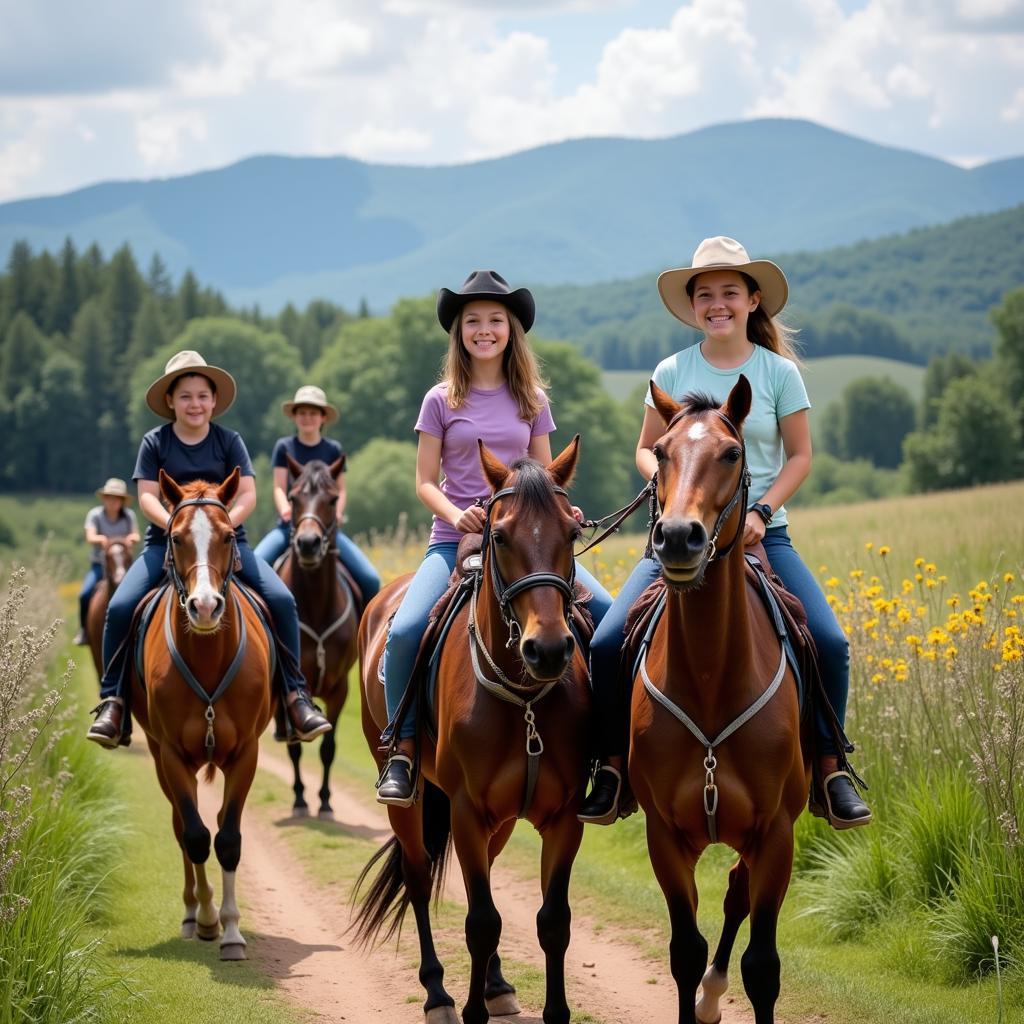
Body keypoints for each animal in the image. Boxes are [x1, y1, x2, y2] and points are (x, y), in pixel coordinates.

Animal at [132, 468, 276, 962]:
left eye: (228, 535)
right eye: (175, 538)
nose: (206, 606)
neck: (209, 655)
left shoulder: (246, 754)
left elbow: (228, 839)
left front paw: (232, 933)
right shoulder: (172, 755)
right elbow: (194, 835)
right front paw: (212, 920)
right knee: (182, 826)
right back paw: (194, 914)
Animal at [354, 438, 589, 1024]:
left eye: (572, 532)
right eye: (499, 536)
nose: (548, 649)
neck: (523, 696)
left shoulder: (563, 817)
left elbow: (552, 921)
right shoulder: (464, 809)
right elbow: (481, 921)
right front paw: (468, 1009)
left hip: (499, 819)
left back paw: (498, 985)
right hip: (409, 797)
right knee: (418, 878)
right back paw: (437, 994)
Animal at [630, 378, 806, 1024]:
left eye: (731, 453)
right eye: (661, 453)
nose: (679, 537)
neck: (709, 675)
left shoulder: (776, 834)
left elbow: (763, 967)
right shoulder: (664, 836)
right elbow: (685, 950)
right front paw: (696, 989)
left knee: (736, 891)